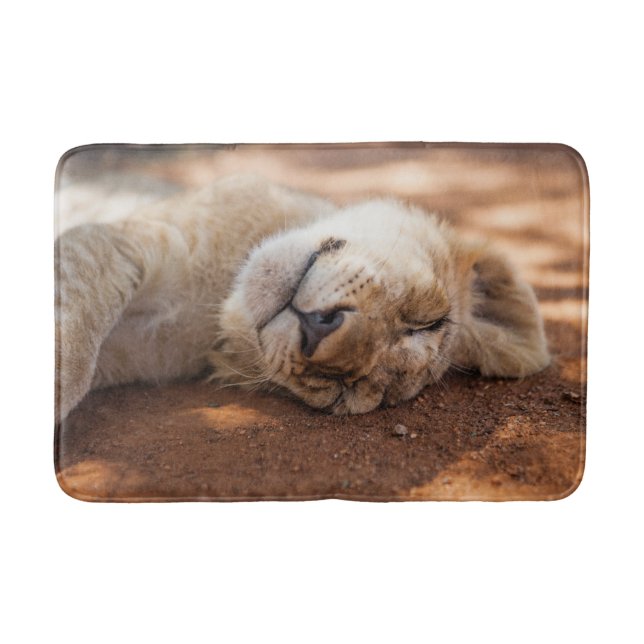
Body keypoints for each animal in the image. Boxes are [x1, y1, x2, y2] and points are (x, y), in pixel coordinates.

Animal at [55, 174, 550, 420]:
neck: (216, 294)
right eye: (425, 321)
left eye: (339, 393)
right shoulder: (122, 238)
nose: (316, 330)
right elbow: (75, 354)